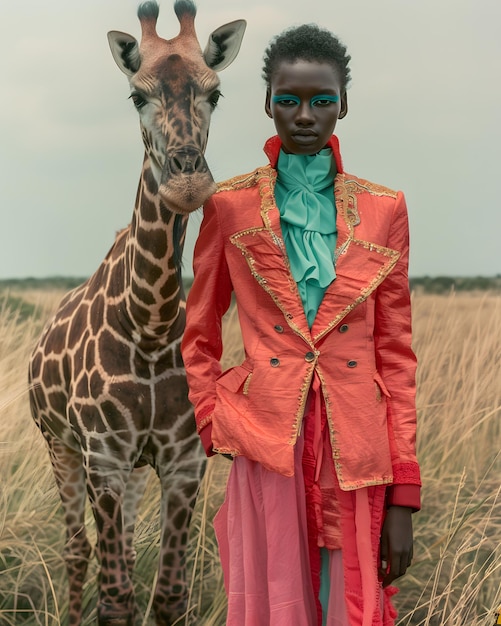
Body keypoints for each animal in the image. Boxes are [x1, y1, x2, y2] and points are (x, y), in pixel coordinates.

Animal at [28, 2, 245, 620]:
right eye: (135, 95)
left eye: (215, 91)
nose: (187, 182)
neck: (147, 322)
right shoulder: (102, 457)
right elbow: (117, 600)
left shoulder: (182, 462)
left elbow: (168, 596)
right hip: (60, 447)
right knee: (77, 549)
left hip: (130, 474)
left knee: (111, 546)